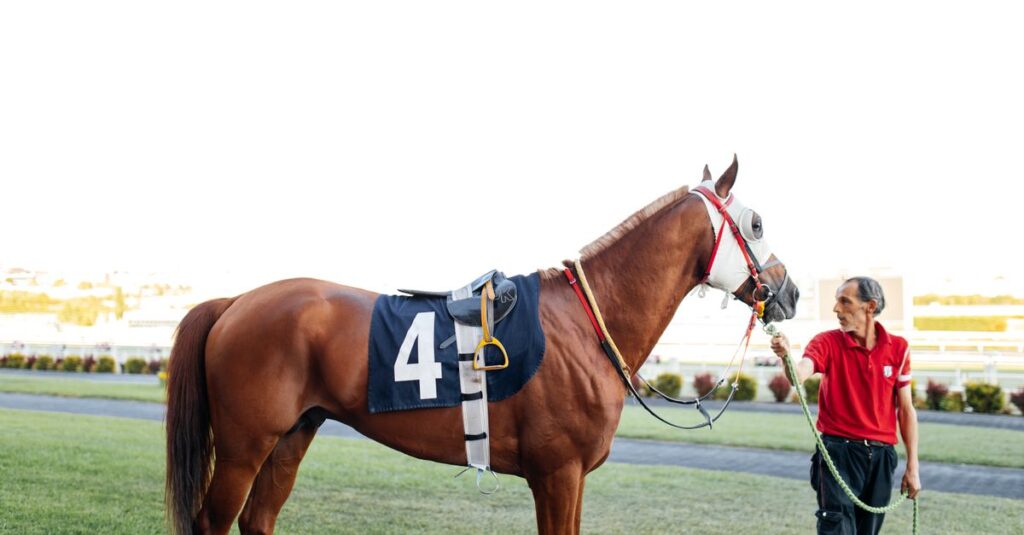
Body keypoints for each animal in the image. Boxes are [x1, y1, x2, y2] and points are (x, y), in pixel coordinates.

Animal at [165, 156, 800, 535]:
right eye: (757, 223)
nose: (789, 291)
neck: (585, 324)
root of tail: (235, 302)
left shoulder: (571, 478)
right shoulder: (557, 473)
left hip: (293, 435)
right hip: (244, 447)